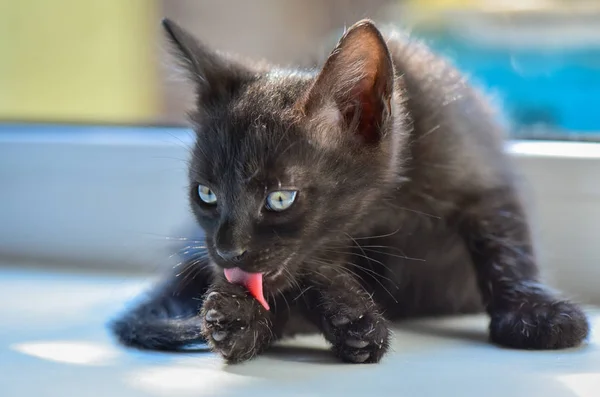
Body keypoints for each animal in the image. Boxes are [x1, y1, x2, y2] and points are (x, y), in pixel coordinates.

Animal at [110, 20, 588, 364]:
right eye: (206, 194)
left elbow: (505, 245)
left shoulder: (480, 176)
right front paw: (343, 314)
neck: (386, 205)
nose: (227, 251)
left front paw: (535, 314)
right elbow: (309, 278)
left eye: (280, 198)